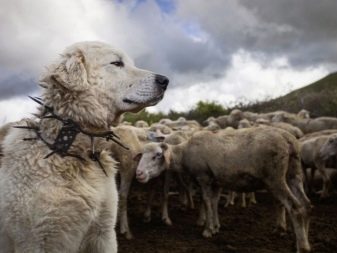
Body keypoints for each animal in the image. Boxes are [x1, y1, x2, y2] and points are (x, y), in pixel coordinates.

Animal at [136, 128, 310, 253]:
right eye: (142, 155)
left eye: (157, 155)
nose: (139, 173)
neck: (184, 154)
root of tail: (288, 139)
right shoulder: (216, 181)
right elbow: (213, 203)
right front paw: (216, 226)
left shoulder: (204, 177)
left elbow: (206, 202)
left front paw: (207, 230)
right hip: (293, 174)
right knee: (305, 205)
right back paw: (302, 242)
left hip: (275, 176)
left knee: (295, 208)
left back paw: (301, 247)